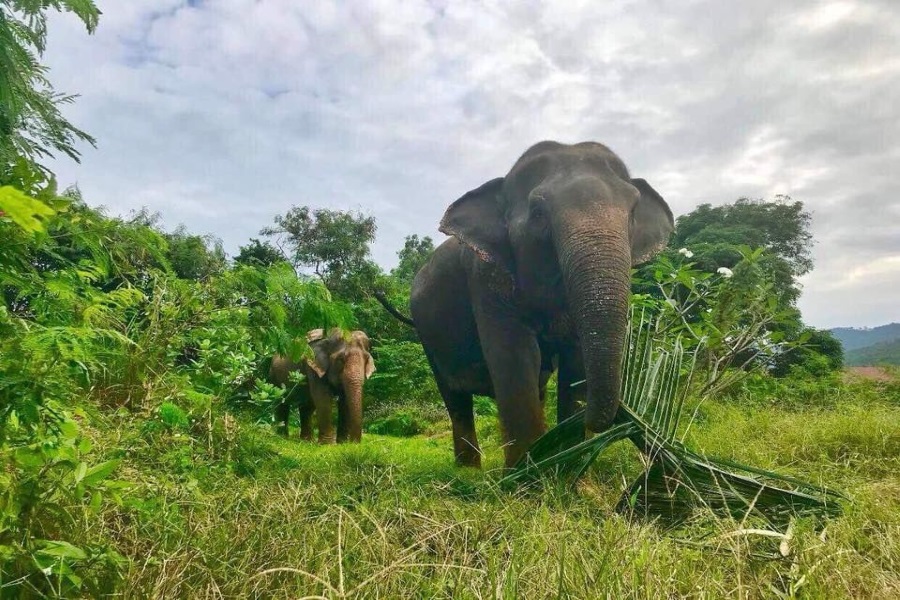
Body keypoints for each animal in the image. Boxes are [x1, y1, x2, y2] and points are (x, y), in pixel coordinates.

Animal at [412, 142, 672, 468]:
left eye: (634, 211)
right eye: (538, 214)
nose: (623, 420)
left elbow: (575, 359)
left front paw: (568, 468)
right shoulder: (485, 278)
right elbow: (516, 357)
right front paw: (527, 476)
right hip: (427, 335)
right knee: (455, 399)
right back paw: (468, 471)